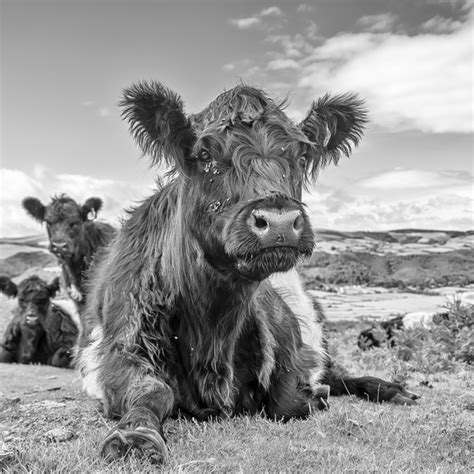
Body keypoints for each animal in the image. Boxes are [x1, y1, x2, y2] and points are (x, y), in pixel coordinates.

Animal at [78, 80, 418, 462]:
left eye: (302, 156)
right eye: (206, 156)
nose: (280, 222)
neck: (212, 328)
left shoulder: (292, 346)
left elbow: (288, 399)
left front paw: (315, 397)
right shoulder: (118, 352)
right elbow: (153, 391)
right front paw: (135, 437)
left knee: (338, 374)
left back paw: (391, 389)